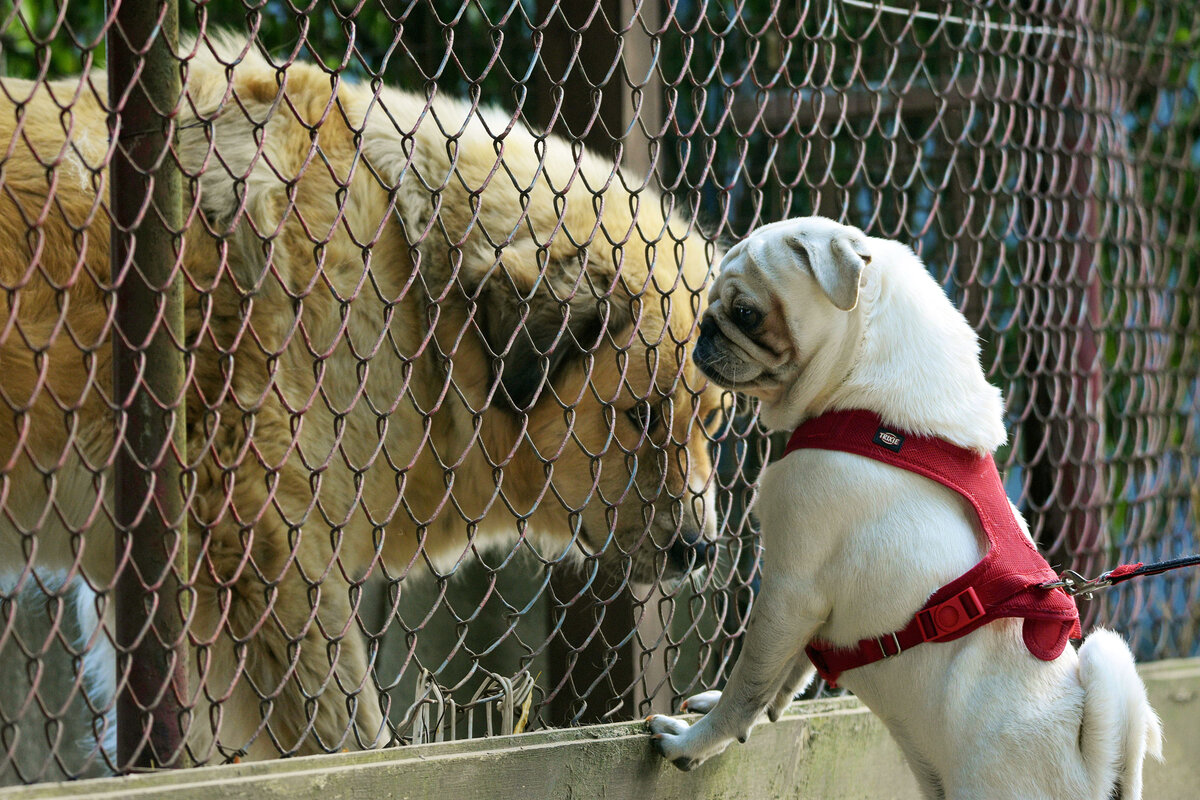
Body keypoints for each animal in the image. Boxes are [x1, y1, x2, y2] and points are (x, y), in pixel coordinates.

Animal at [0, 37, 715, 762]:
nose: (701, 550)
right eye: (640, 416)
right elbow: (339, 731)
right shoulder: (265, 537)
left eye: (711, 421)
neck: (413, 277)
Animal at [648, 217, 1161, 800]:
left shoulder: (789, 589)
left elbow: (749, 684)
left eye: (746, 312)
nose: (705, 329)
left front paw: (696, 740)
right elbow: (788, 675)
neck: (869, 409)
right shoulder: (805, 608)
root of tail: (1093, 770)